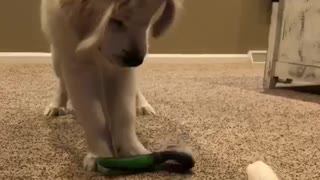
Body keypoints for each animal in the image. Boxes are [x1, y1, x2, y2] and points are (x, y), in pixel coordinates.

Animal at [40, 0, 182, 172]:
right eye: (116, 20)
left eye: (149, 20)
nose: (136, 60)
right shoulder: (77, 65)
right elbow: (94, 115)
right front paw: (99, 155)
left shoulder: (122, 70)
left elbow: (125, 113)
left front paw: (134, 151)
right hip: (57, 56)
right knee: (62, 80)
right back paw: (56, 105)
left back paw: (142, 105)